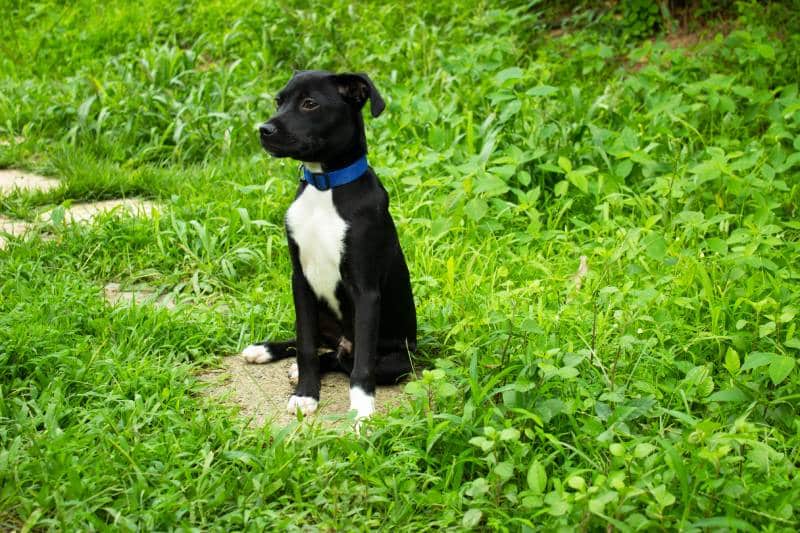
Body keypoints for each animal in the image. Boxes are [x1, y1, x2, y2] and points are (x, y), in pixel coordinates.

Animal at [242, 69, 418, 420]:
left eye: (310, 104)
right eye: (279, 101)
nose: (264, 130)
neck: (325, 187)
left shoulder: (365, 290)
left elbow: (361, 365)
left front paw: (362, 412)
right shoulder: (300, 280)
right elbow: (306, 345)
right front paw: (306, 394)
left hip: (398, 361)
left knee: (344, 359)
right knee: (320, 347)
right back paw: (265, 350)